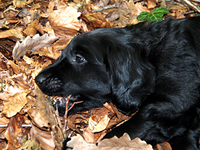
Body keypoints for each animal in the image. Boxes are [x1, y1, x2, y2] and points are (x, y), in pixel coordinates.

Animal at [35, 17, 200, 149]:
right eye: (62, 53)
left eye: (79, 58)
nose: (37, 80)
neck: (149, 55)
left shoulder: (165, 106)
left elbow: (121, 132)